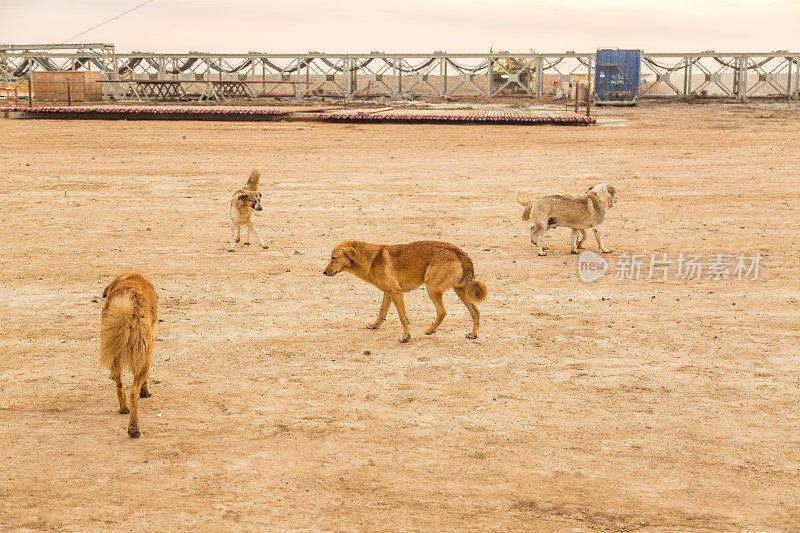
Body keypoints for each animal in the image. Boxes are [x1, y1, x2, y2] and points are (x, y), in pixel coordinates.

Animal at [99, 272, 157, 438]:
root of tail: (128, 311)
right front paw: (146, 391)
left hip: (115, 352)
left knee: (119, 386)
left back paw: (124, 409)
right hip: (143, 358)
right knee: (134, 392)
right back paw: (133, 429)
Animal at [324, 240, 488, 342]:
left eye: (333, 258)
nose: (324, 272)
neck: (371, 258)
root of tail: (459, 252)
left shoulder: (396, 293)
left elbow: (402, 317)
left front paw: (406, 337)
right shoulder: (388, 293)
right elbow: (382, 312)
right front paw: (374, 325)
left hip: (432, 289)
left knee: (442, 311)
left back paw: (430, 330)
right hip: (460, 290)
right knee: (475, 311)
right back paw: (473, 334)